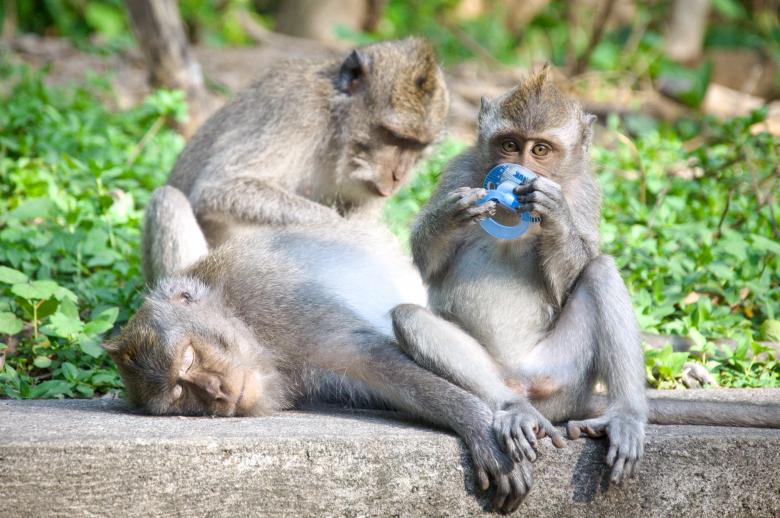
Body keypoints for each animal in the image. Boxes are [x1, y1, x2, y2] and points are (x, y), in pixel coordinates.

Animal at [108, 217, 535, 514]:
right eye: (180, 393)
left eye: (189, 356)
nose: (215, 392)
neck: (242, 318)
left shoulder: (274, 298)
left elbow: (368, 357)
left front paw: (475, 422)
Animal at [142, 37, 449, 285]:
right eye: (393, 136)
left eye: (417, 146)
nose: (398, 176)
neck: (336, 128)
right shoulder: (298, 110)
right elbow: (220, 187)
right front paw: (352, 233)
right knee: (168, 198)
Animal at [402, 65, 780, 485]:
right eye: (510, 144)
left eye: (540, 150)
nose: (522, 171)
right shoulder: (459, 171)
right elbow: (427, 260)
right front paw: (457, 212)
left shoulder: (585, 191)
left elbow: (574, 272)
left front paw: (554, 213)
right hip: (508, 378)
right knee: (410, 318)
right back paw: (514, 409)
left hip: (562, 377)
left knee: (601, 271)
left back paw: (625, 418)